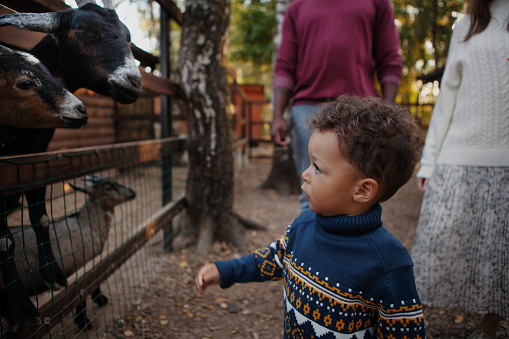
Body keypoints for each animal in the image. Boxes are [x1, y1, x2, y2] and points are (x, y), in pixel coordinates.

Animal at [0, 0, 141, 330]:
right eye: (85, 31)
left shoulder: (35, 162)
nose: (135, 81)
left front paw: (52, 271)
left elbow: (41, 217)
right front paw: (19, 304)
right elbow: (4, 241)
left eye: (128, 36)